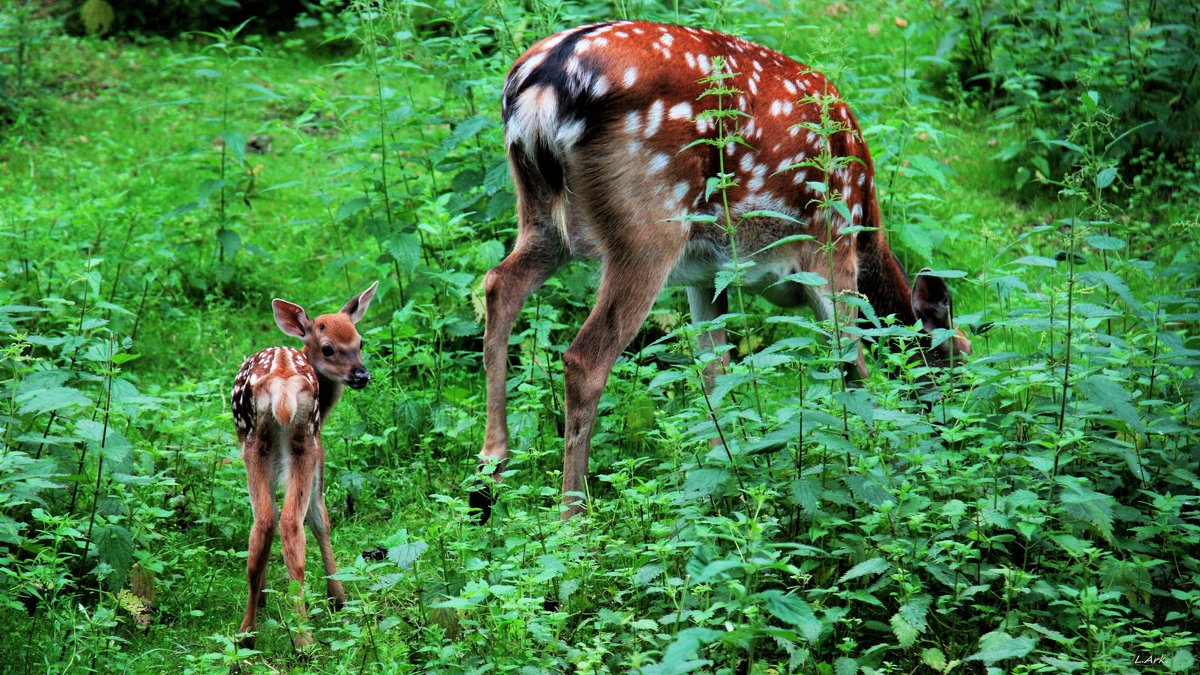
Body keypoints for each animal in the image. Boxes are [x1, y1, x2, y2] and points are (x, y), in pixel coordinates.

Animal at [231, 279, 376, 648]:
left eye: (360, 342)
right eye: (328, 348)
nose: (361, 375)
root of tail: (282, 380)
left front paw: (265, 595)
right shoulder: (320, 450)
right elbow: (322, 520)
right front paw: (338, 597)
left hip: (256, 445)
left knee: (264, 522)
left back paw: (248, 632)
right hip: (304, 444)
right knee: (292, 524)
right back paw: (304, 640)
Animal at [472, 19, 969, 521]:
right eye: (959, 362)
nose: (955, 442)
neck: (868, 225)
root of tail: (544, 79)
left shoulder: (704, 274)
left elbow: (716, 372)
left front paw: (723, 486)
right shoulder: (832, 248)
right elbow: (853, 370)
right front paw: (877, 472)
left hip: (540, 211)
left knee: (499, 285)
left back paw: (486, 480)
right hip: (649, 222)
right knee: (585, 356)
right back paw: (573, 518)